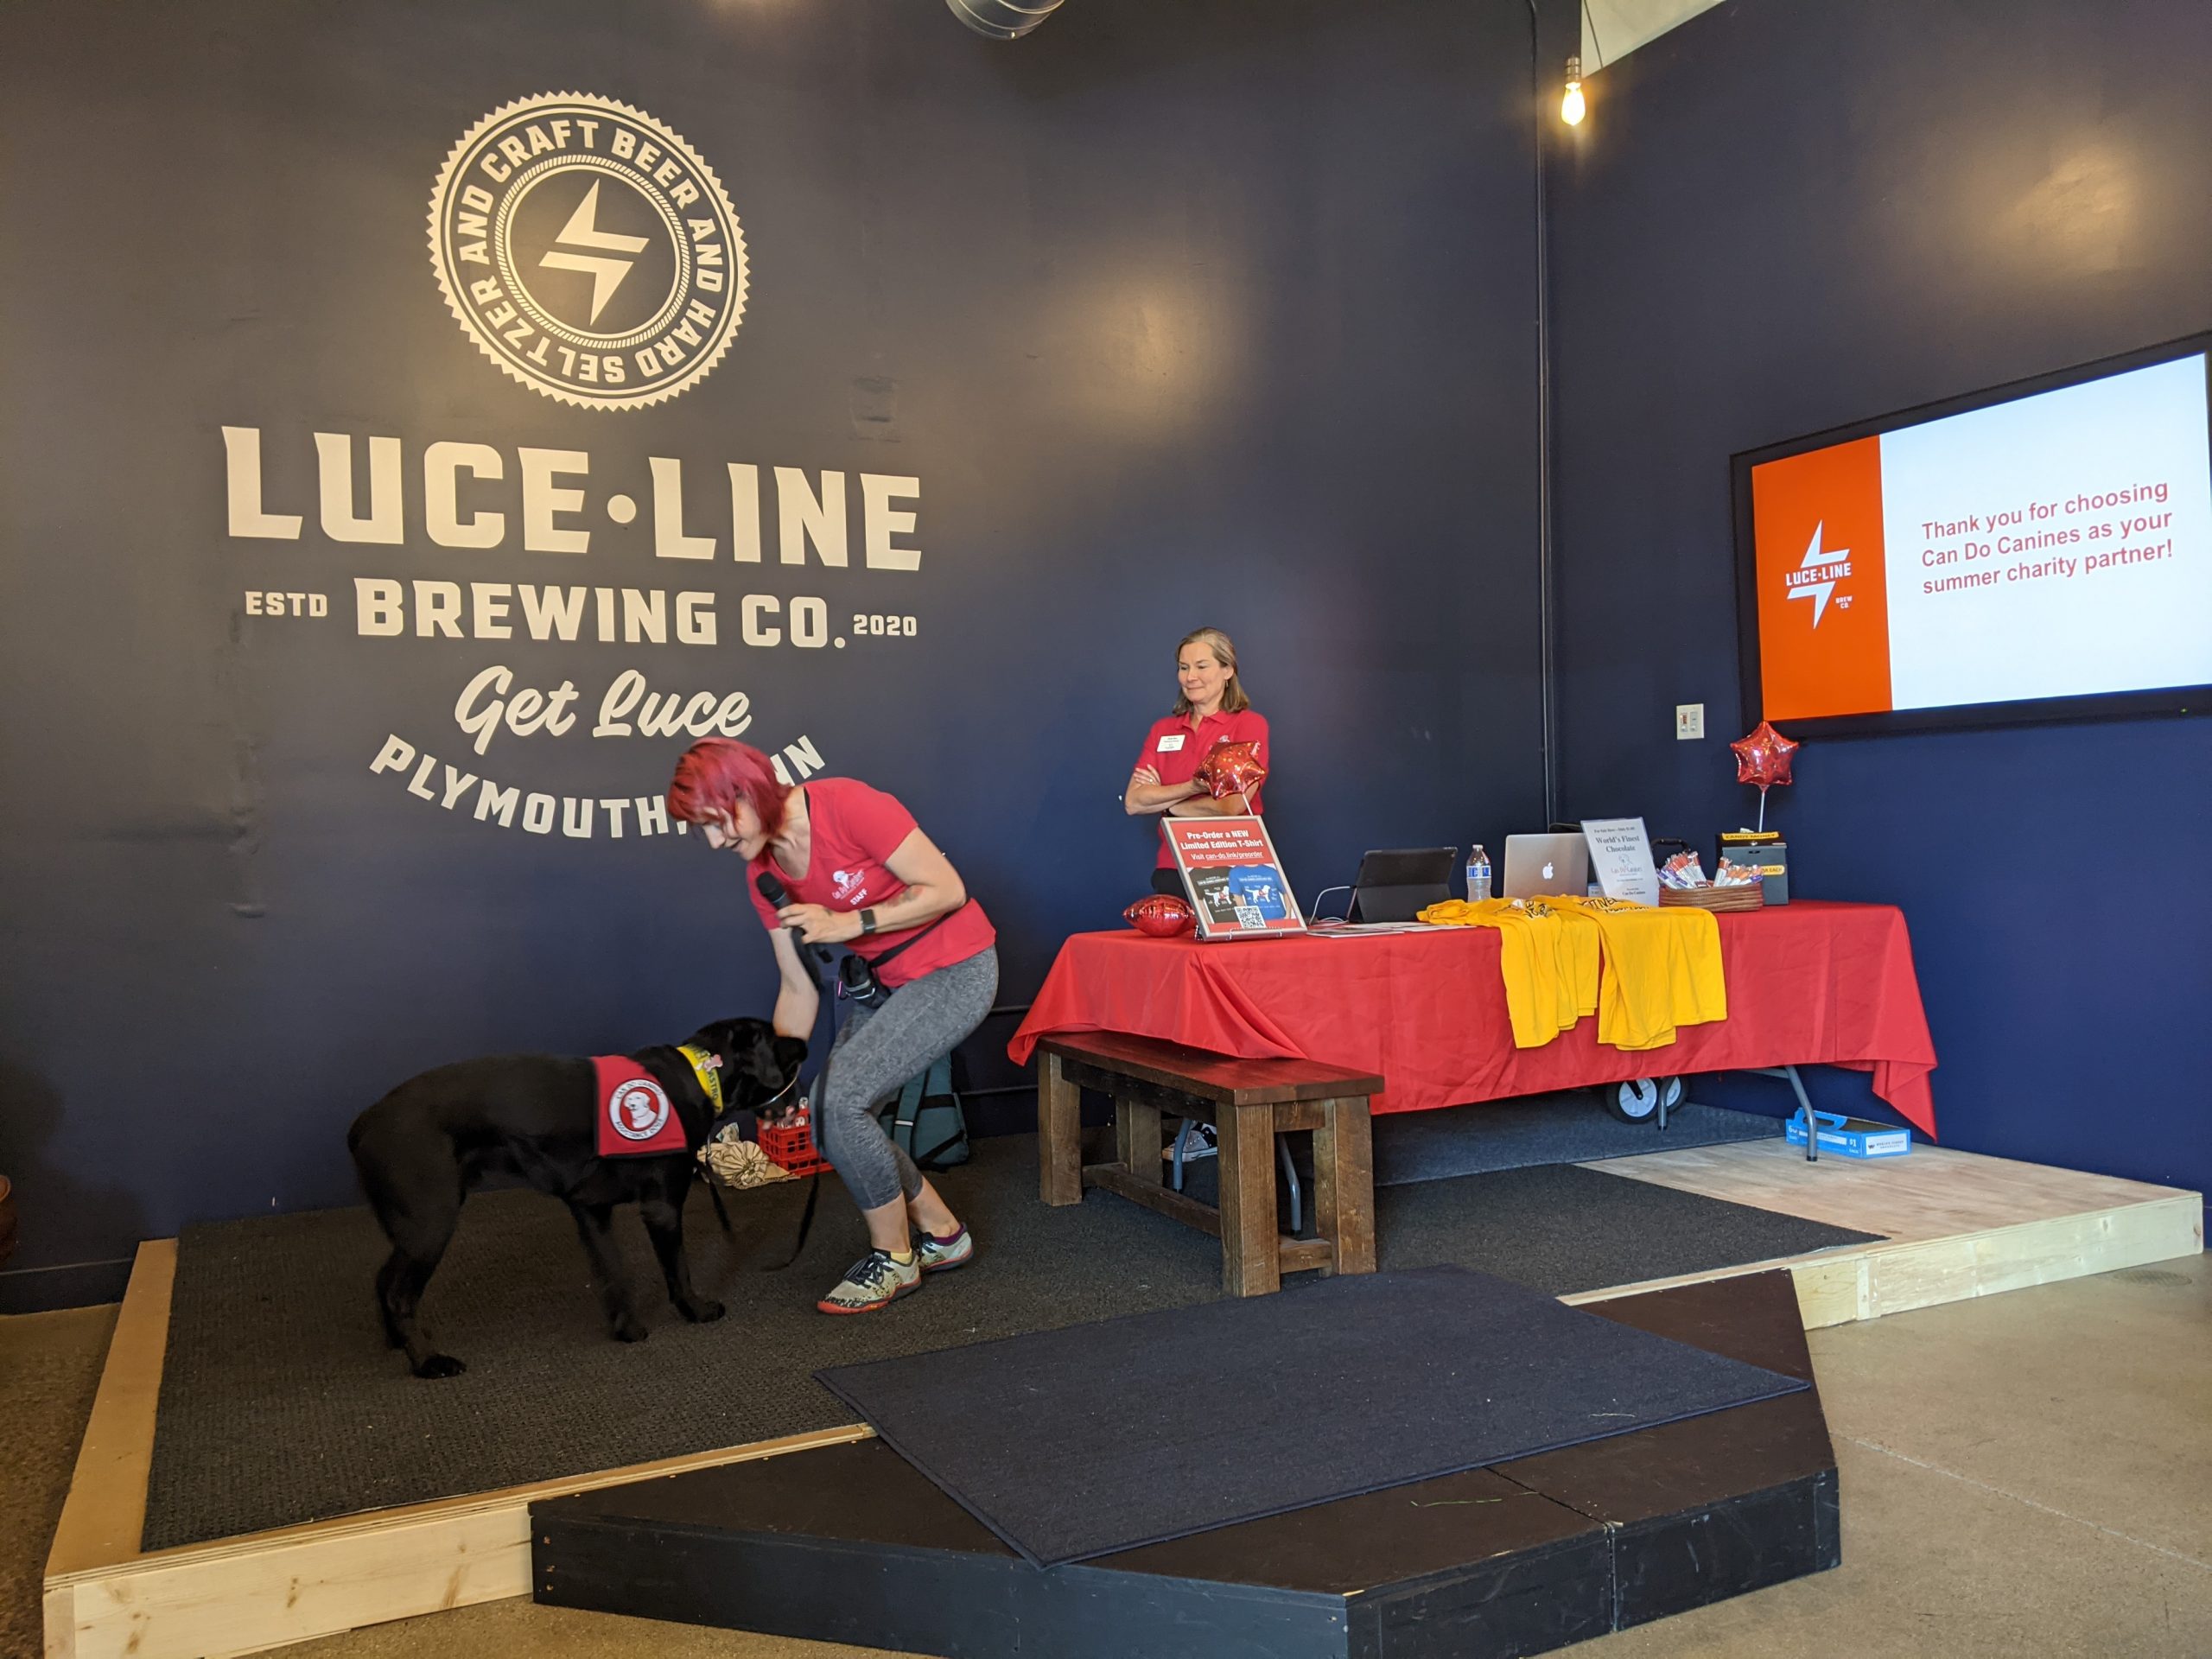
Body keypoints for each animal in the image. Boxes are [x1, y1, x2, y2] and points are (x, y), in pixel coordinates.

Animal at [340, 1021, 800, 1380]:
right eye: (773, 1035)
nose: (804, 1041)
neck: (699, 1073)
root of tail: (361, 1124)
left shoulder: (591, 1210)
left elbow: (613, 1274)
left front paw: (626, 1329)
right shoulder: (663, 1208)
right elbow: (678, 1271)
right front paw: (695, 1310)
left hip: (413, 1231)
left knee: (383, 1282)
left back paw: (398, 1342)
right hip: (431, 1224)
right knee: (398, 1294)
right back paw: (426, 1361)